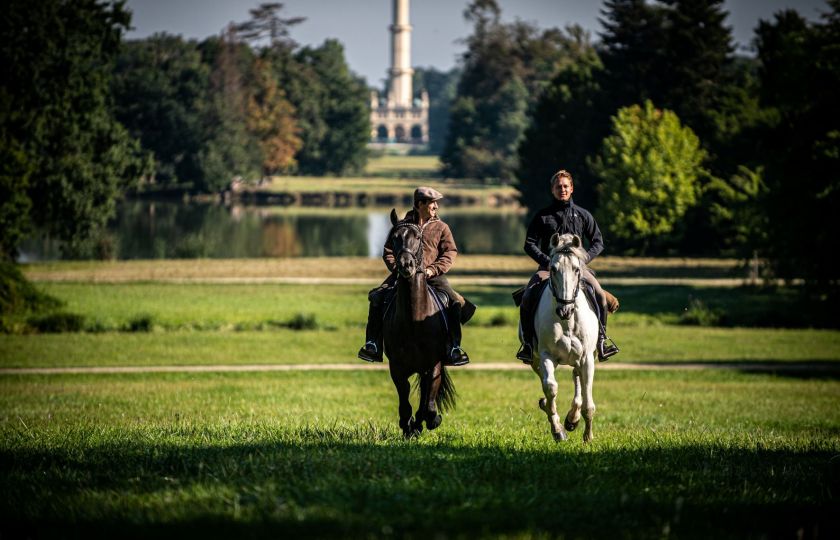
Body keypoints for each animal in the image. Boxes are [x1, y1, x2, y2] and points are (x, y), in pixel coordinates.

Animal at [384, 209, 456, 436]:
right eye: (394, 238)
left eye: (418, 238)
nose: (406, 265)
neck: (414, 321)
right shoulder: (397, 367)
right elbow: (405, 400)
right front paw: (408, 426)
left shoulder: (433, 365)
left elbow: (429, 403)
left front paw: (431, 420)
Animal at [532, 232, 596, 442]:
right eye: (553, 269)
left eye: (576, 269)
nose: (564, 310)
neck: (567, 321)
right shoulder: (545, 356)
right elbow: (551, 388)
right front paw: (558, 429)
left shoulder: (587, 359)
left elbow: (588, 404)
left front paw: (588, 437)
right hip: (534, 360)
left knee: (577, 377)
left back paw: (573, 418)